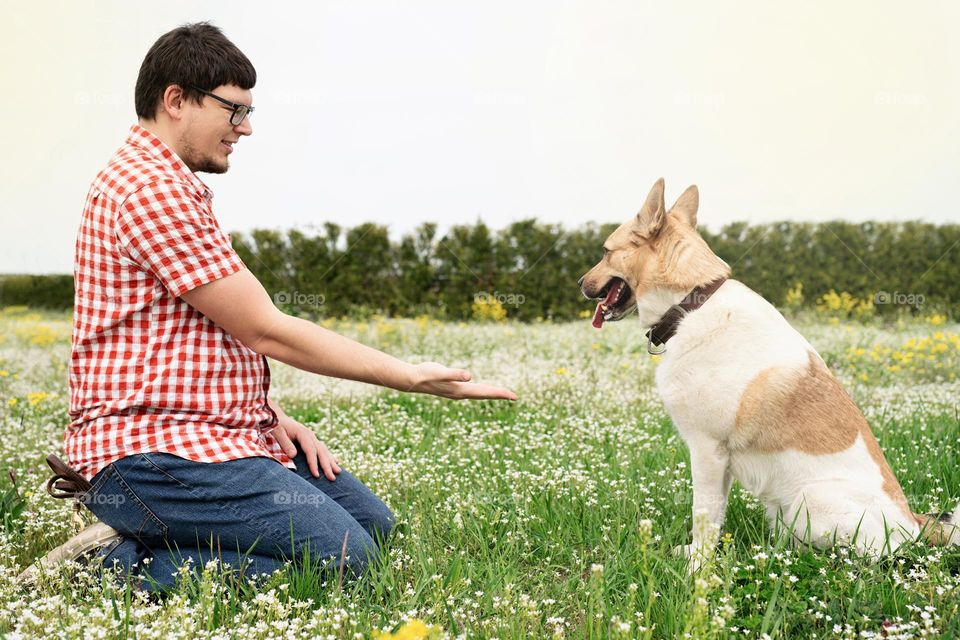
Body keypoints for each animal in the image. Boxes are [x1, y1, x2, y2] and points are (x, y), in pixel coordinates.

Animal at [576, 178, 960, 568]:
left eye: (606, 252)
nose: (579, 283)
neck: (691, 302)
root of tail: (913, 524)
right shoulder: (720, 463)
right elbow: (715, 516)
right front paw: (698, 556)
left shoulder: (707, 451)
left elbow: (703, 515)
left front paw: (698, 567)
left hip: (811, 500)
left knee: (868, 556)